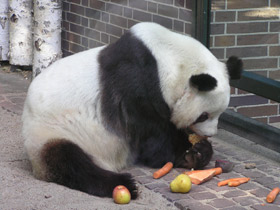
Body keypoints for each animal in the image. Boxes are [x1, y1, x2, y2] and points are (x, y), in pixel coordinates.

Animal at [21, 22, 242, 199]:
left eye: (221, 113)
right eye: (204, 115)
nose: (210, 134)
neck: (171, 60)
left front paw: (198, 150)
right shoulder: (136, 88)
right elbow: (153, 138)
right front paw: (189, 153)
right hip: (53, 130)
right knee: (69, 161)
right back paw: (123, 184)